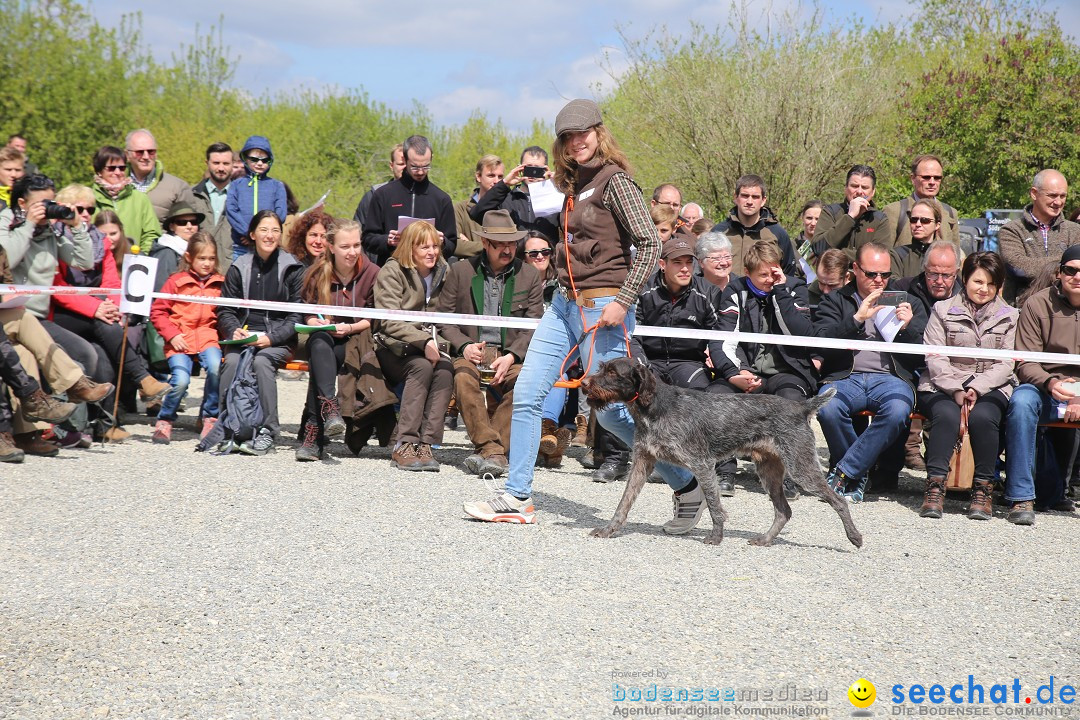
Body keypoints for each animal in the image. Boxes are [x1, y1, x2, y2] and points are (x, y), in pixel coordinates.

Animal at [583, 358, 859, 548]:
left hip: (801, 469)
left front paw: (716, 537)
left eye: (612, 372)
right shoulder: (643, 461)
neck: (653, 408)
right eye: (602, 367)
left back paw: (854, 537)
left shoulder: (702, 464)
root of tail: (801, 407)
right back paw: (765, 539)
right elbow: (624, 503)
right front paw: (609, 530)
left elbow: (715, 506)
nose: (584, 383)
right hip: (769, 471)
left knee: (838, 500)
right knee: (784, 511)